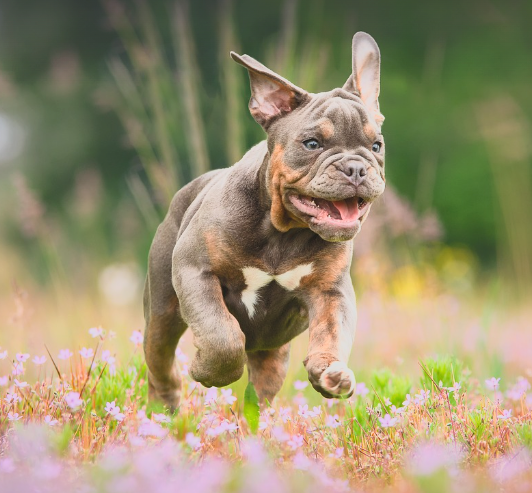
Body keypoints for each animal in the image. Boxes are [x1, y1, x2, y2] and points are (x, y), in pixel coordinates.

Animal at [143, 31, 384, 408]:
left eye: (376, 147)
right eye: (312, 143)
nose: (356, 168)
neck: (283, 232)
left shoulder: (331, 291)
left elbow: (332, 332)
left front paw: (330, 371)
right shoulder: (195, 270)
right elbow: (221, 334)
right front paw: (208, 371)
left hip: (272, 356)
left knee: (258, 394)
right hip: (162, 312)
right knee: (159, 360)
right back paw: (164, 405)